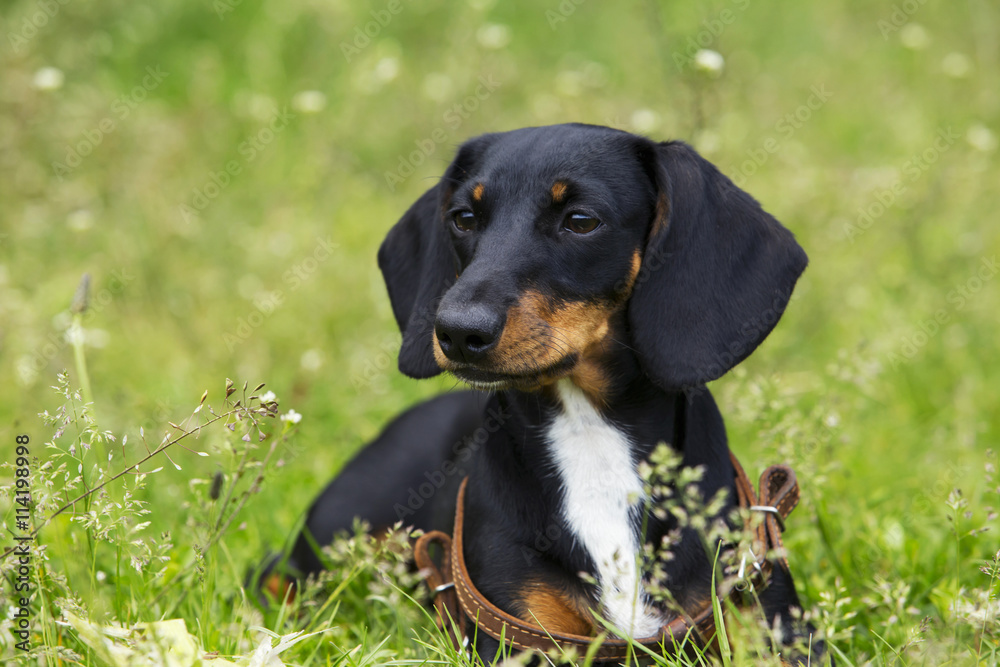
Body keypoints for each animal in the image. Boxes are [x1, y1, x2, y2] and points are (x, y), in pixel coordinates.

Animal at [265, 123, 821, 664]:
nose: (456, 331)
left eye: (580, 220)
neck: (589, 435)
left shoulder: (769, 623)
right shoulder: (521, 631)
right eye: (463, 217)